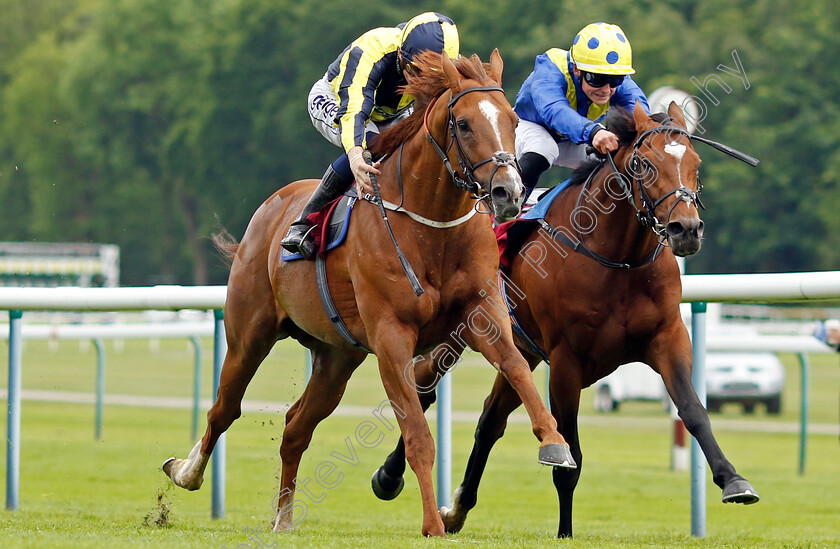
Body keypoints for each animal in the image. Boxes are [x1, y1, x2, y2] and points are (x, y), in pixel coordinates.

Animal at [160, 49, 576, 536]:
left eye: (513, 119)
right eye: (464, 124)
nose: (508, 193)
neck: (432, 226)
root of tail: (269, 209)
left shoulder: (482, 315)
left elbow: (517, 368)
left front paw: (554, 442)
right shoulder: (392, 338)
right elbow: (417, 436)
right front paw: (433, 525)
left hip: (337, 357)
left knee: (295, 428)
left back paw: (284, 518)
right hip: (249, 333)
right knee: (224, 409)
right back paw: (185, 472)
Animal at [374, 103, 760, 536]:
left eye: (696, 162)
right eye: (644, 163)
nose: (686, 230)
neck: (617, 257)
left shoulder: (668, 338)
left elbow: (694, 411)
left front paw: (734, 481)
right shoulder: (565, 361)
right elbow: (569, 453)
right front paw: (565, 533)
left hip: (521, 350)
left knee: (490, 419)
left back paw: (456, 509)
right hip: (461, 332)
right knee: (424, 387)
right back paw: (389, 476)